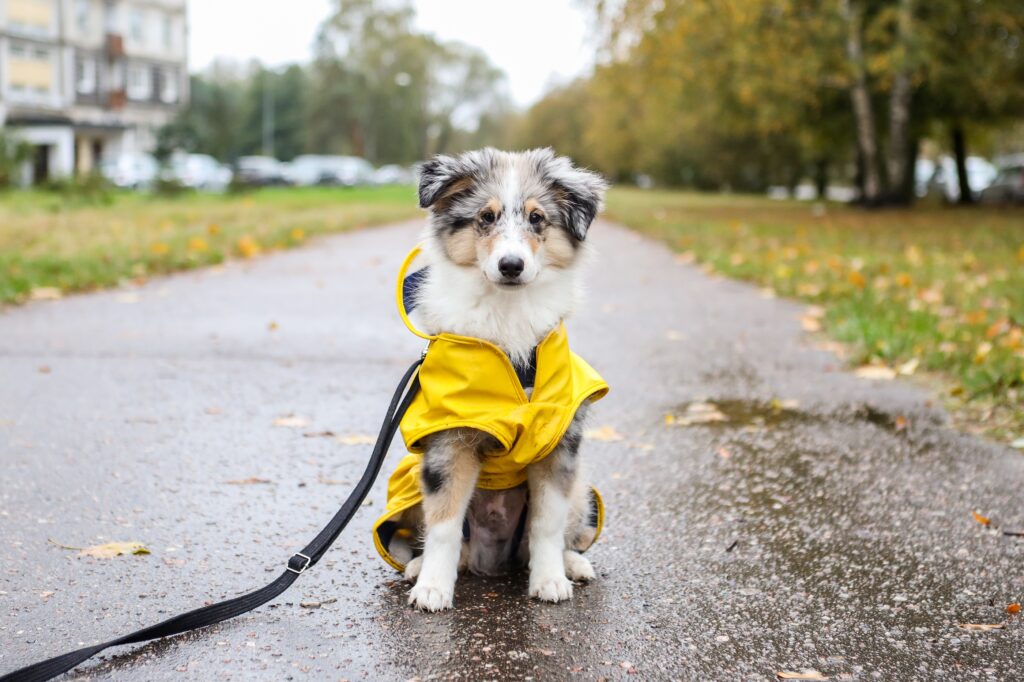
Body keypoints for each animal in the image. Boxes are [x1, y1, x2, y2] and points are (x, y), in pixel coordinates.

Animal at [393, 146, 602, 606]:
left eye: (537, 218)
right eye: (485, 217)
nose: (511, 265)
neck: (507, 317)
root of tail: (492, 557)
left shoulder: (559, 444)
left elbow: (546, 524)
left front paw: (549, 580)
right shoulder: (449, 441)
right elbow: (444, 524)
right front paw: (432, 587)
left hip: (581, 487)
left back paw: (573, 564)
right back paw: (418, 567)